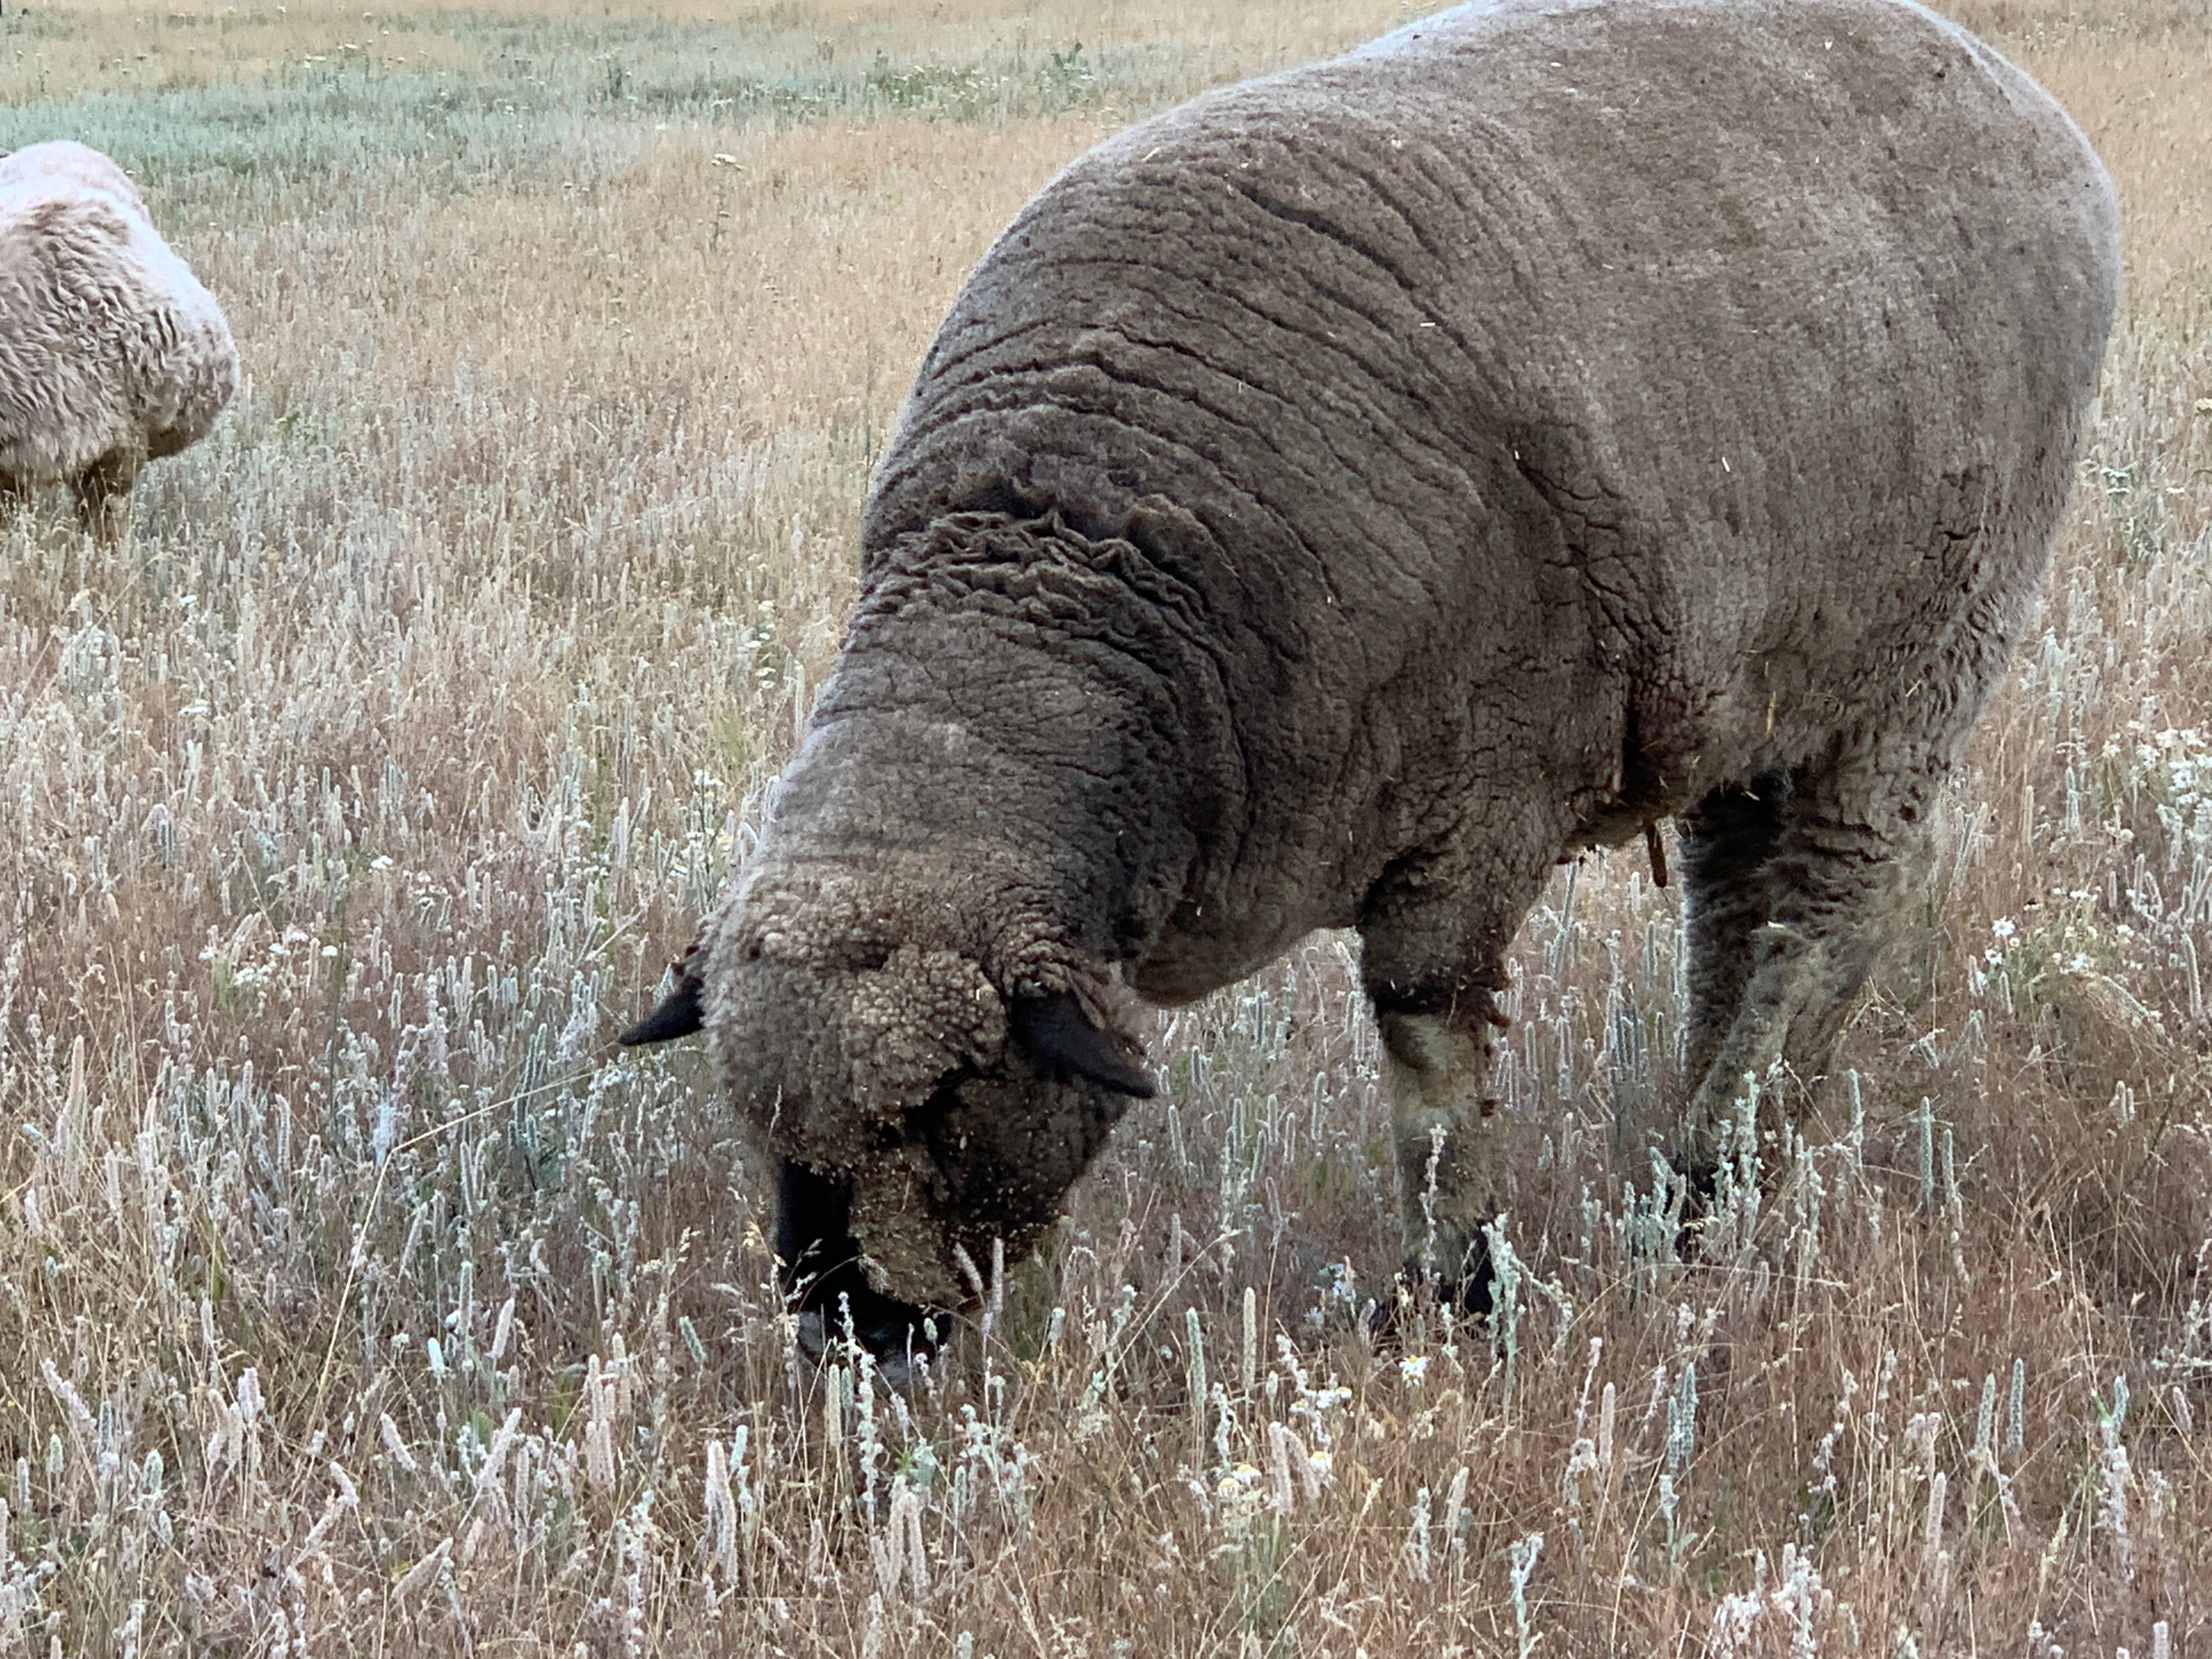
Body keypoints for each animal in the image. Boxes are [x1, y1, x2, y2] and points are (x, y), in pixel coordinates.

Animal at [623, 0, 2120, 1366]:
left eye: (939, 1107)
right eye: (754, 1118)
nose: (855, 1338)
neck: (1066, 579)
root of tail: (2009, 85)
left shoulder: (1479, 805)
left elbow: (1431, 1062)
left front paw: (1453, 1293)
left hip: (1934, 643)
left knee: (1829, 915)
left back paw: (1713, 1184)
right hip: (1755, 688)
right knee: (1734, 905)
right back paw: (1687, 1162)